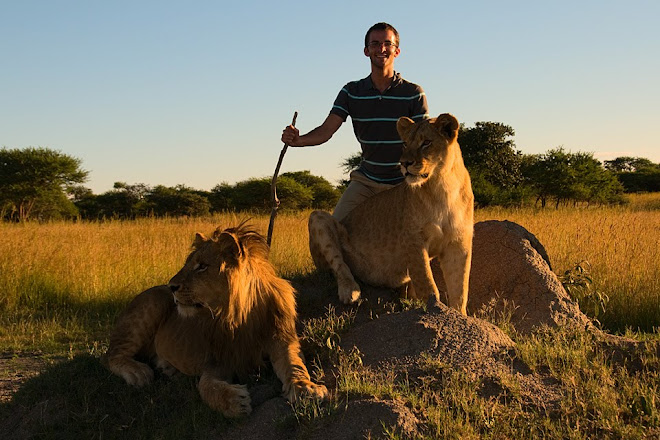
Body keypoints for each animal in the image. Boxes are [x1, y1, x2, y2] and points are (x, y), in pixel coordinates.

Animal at [102, 223, 328, 416]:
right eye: (187, 264)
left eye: (202, 266)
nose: (171, 286)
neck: (239, 316)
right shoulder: (218, 359)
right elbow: (206, 386)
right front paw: (233, 402)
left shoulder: (283, 341)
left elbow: (294, 365)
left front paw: (305, 388)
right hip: (151, 305)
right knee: (112, 356)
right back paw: (138, 372)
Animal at [310, 111, 474, 314]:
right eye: (405, 144)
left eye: (426, 142)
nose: (404, 163)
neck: (443, 185)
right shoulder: (413, 239)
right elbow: (427, 284)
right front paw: (434, 308)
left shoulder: (459, 242)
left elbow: (460, 288)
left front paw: (458, 315)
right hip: (318, 218)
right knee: (339, 266)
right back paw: (350, 291)